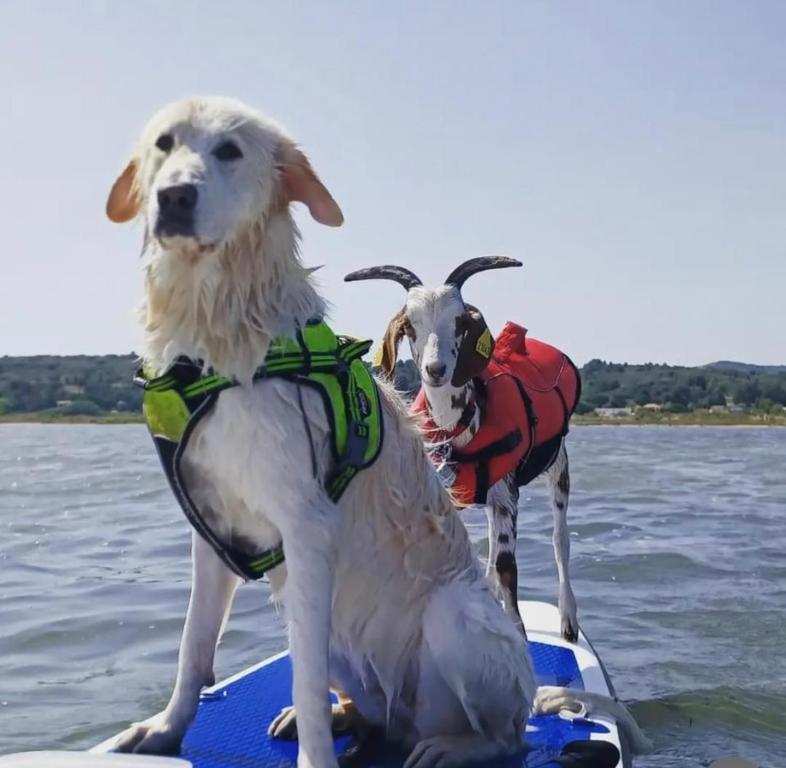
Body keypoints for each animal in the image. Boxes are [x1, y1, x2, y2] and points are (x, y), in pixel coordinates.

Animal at [104, 96, 532, 768]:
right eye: (163, 144)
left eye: (230, 150)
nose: (172, 197)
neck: (221, 343)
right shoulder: (212, 532)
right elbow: (193, 645)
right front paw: (165, 729)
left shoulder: (307, 530)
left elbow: (301, 679)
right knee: (371, 710)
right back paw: (349, 716)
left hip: (457, 618)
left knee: (507, 732)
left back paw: (449, 746)